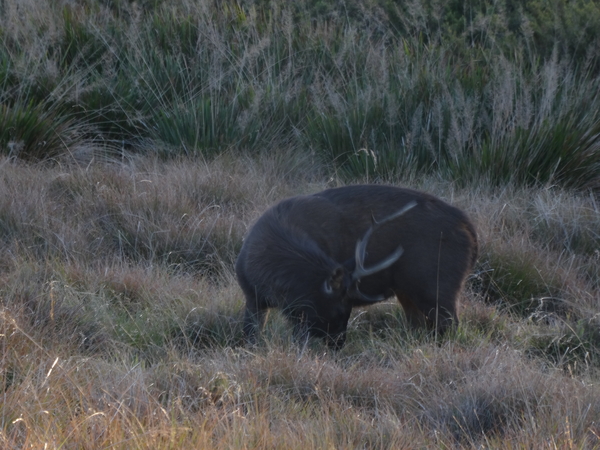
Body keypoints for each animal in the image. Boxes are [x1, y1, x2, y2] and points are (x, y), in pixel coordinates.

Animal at [234, 183, 478, 348]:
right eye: (339, 310)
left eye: (348, 309)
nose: (338, 343)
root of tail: (469, 229)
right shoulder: (253, 297)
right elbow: (250, 336)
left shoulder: (298, 309)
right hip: (409, 290)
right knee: (419, 325)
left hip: (436, 283)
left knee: (450, 325)